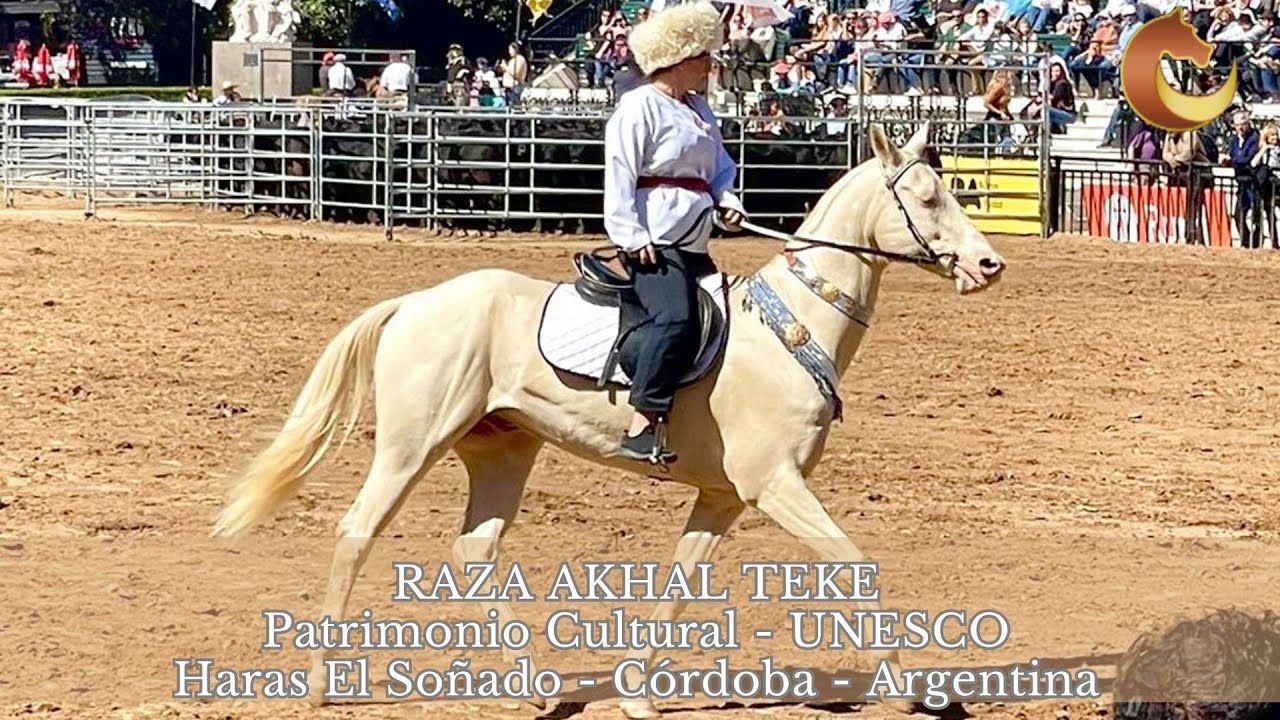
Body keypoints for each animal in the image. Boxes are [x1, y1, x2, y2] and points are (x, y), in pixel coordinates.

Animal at [211, 122, 1007, 719]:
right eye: (928, 198)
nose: (988, 265)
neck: (791, 327)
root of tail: (416, 301)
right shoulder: (773, 486)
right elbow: (855, 566)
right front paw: (909, 691)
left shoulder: (722, 498)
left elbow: (680, 585)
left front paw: (636, 696)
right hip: (412, 446)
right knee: (358, 532)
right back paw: (323, 683)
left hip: (503, 451)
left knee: (474, 552)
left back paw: (529, 689)